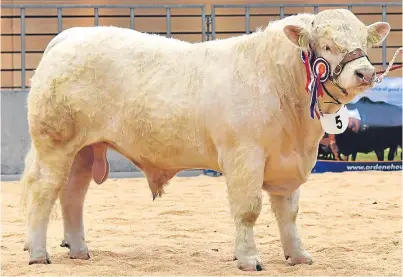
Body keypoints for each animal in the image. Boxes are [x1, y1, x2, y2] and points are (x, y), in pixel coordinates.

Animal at [22, 8, 392, 270]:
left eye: (365, 41)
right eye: (328, 45)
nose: (366, 73)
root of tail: (70, 36)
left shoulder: (288, 160)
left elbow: (288, 213)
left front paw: (298, 255)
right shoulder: (245, 156)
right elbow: (248, 210)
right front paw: (248, 259)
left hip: (84, 149)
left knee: (72, 195)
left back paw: (79, 250)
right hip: (55, 143)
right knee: (43, 192)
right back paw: (39, 253)